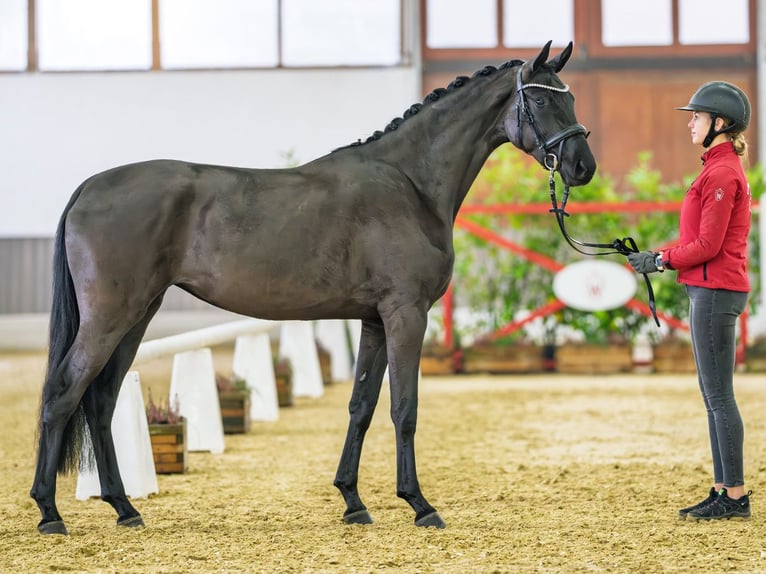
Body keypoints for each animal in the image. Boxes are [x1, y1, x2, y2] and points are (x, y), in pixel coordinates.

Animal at [31, 40, 592, 536]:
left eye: (569, 97)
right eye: (542, 99)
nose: (583, 166)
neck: (409, 184)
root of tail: (88, 189)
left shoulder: (375, 320)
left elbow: (362, 406)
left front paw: (353, 501)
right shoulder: (406, 314)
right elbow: (404, 408)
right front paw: (419, 504)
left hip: (137, 315)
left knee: (101, 400)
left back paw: (124, 508)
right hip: (111, 316)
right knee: (63, 393)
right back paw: (49, 513)